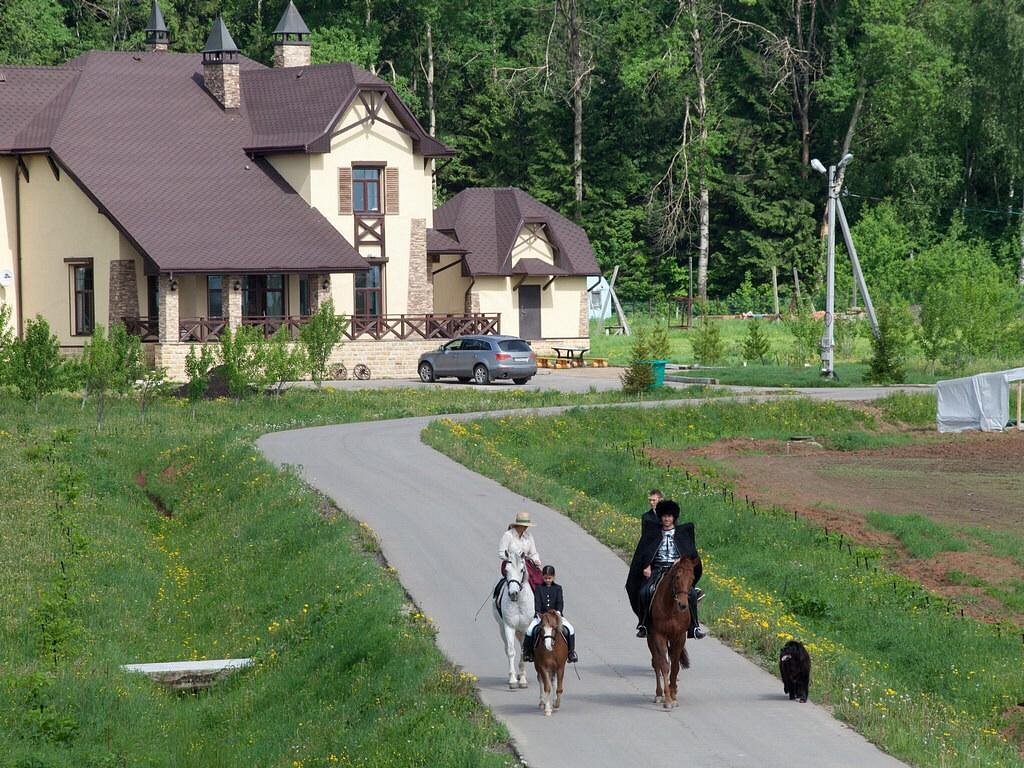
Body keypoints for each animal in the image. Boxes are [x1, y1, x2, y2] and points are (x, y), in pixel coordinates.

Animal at [493, 552, 536, 692]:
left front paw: (522, 680)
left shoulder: (525, 629)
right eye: (506, 570)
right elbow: (511, 651)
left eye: (522, 570)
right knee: (507, 649)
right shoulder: (509, 626)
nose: (513, 593)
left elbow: (524, 651)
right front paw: (513, 681)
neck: (518, 602)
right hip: (502, 628)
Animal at [643, 557, 700, 712]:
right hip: (650, 638)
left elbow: (675, 667)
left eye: (692, 578)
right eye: (677, 577)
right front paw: (668, 699)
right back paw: (659, 694)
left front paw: (674, 696)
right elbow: (664, 665)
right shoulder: (659, 636)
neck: (671, 609)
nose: (682, 605)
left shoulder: (680, 637)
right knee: (656, 662)